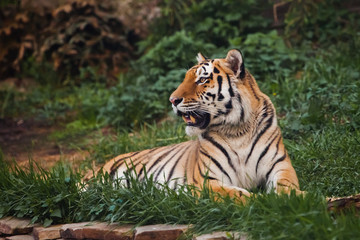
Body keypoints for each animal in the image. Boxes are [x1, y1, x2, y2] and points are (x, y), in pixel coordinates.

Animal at [85, 49, 300, 202]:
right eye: (185, 78)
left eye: (202, 79)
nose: (172, 100)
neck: (237, 130)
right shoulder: (207, 180)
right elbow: (239, 195)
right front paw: (263, 202)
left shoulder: (280, 166)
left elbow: (288, 186)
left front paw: (300, 198)